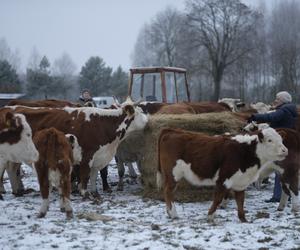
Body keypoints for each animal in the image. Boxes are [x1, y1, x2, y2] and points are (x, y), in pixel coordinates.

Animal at [2, 98, 148, 198]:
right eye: (140, 112)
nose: (148, 121)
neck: (102, 124)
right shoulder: (86, 156)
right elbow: (85, 176)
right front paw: (85, 193)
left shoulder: (99, 155)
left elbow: (94, 175)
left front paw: (95, 192)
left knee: (12, 168)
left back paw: (17, 191)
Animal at [156, 127, 288, 223]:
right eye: (270, 140)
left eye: (281, 139)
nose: (285, 150)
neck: (245, 151)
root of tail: (171, 130)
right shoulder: (223, 179)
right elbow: (218, 198)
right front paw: (210, 216)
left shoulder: (240, 182)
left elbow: (240, 200)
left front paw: (243, 219)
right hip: (173, 174)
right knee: (168, 191)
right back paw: (173, 214)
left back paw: (169, 213)